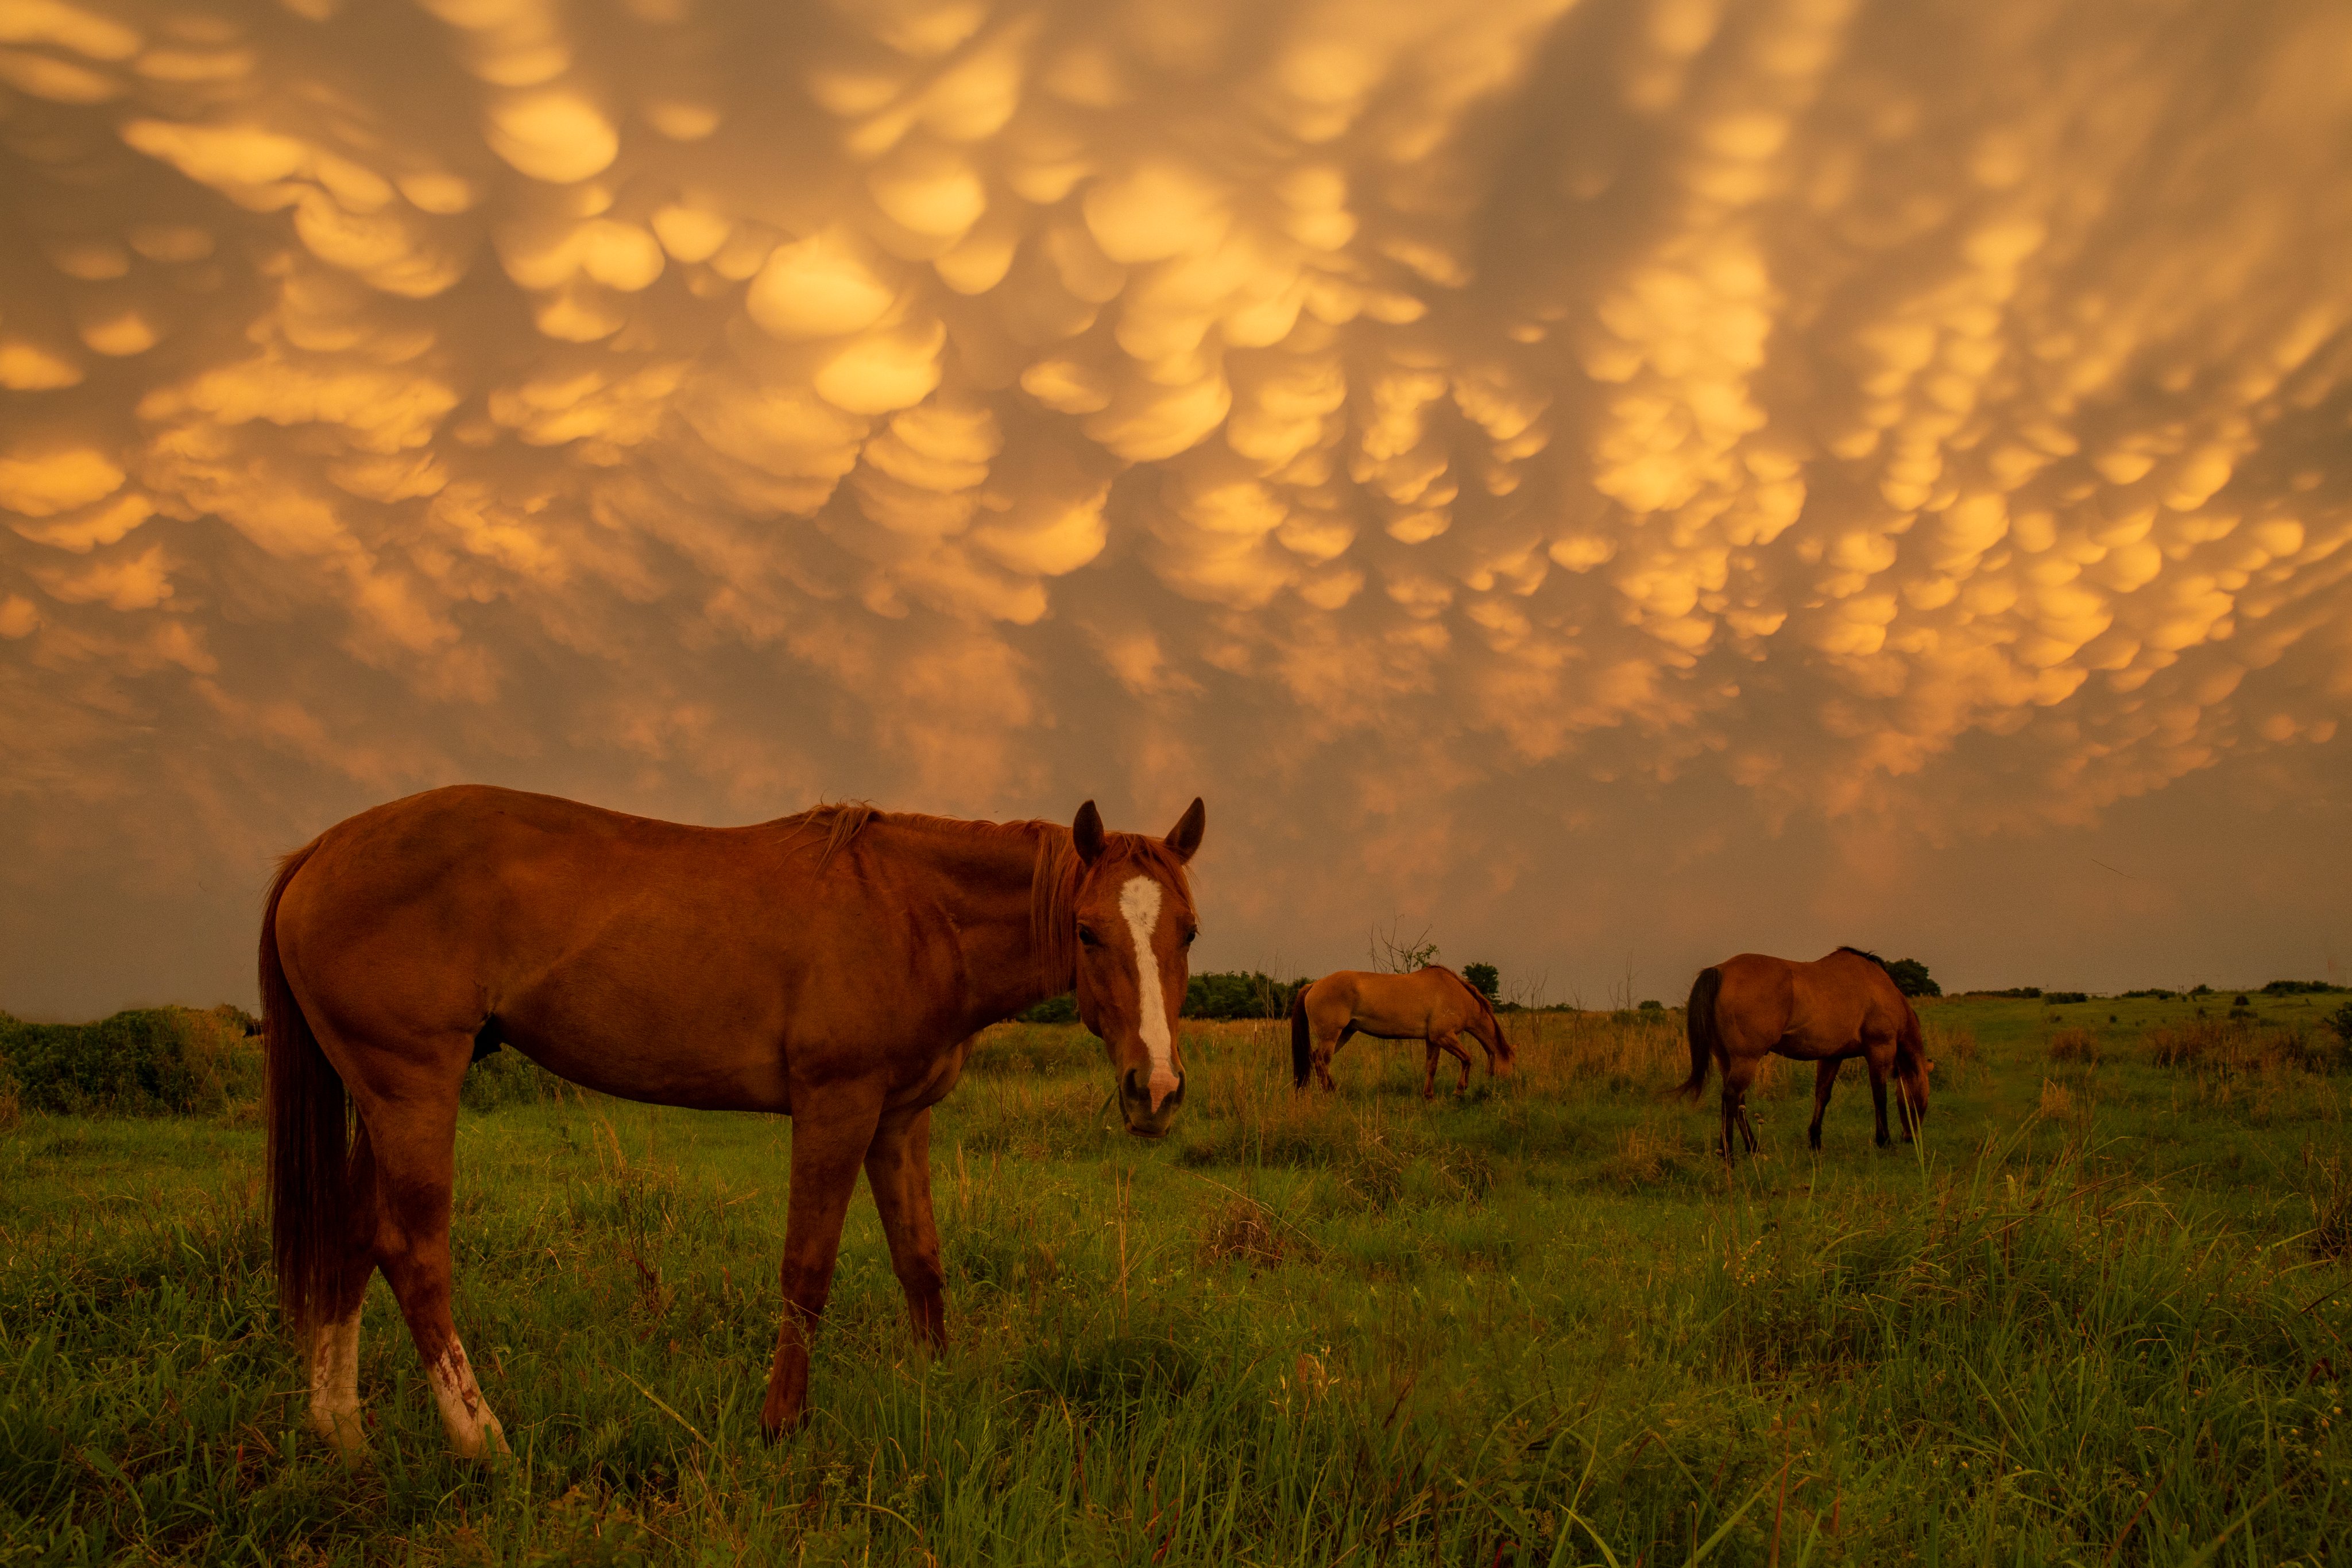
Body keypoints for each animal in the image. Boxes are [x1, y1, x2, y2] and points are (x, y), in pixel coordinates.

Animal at [266, 785, 1204, 1457]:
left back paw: (342, 1432)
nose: (1154, 1089)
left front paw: (936, 1388)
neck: (912, 909)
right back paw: (480, 1438)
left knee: (352, 1241)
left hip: (377, 1097)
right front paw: (780, 1423)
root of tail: (318, 852)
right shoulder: (836, 1104)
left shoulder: (899, 1119)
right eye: (1087, 930)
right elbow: (807, 1271)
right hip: (414, 1089)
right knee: (413, 1253)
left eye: (1190, 930)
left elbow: (922, 1262)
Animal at [1298, 968, 1514, 1105]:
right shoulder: (1445, 1037)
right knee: (1322, 1061)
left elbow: (1431, 1067)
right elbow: (1468, 1059)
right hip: (1331, 1036)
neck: (1456, 994)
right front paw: (1459, 1092)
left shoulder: (1433, 1040)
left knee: (1317, 1059)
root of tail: (1314, 985)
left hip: (1344, 1034)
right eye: (1512, 1063)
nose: (1506, 1089)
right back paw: (1328, 1094)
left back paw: (1333, 1090)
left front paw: (1429, 1096)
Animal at [1684, 944, 1938, 1166]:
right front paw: (1884, 1140)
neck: (1880, 989)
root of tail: (1720, 970)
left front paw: (1815, 1141)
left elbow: (1822, 1095)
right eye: (1922, 1097)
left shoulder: (1832, 1056)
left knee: (1738, 1103)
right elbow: (1880, 1096)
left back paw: (1752, 1150)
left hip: (1727, 1059)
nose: (1911, 1137)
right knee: (1731, 1098)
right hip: (1745, 1060)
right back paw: (1730, 1156)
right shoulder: (1880, 1049)